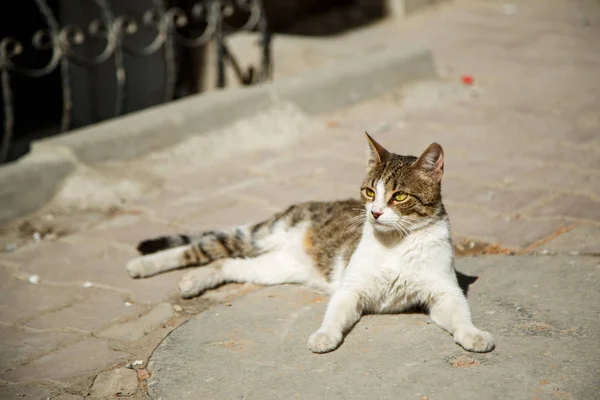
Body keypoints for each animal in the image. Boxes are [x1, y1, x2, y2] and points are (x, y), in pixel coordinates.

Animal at [125, 134, 492, 354]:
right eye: (369, 192)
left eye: (399, 196)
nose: (373, 212)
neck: (396, 244)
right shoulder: (350, 290)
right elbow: (334, 315)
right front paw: (324, 336)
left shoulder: (444, 292)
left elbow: (460, 315)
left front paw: (474, 335)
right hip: (263, 235)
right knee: (205, 248)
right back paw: (143, 265)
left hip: (274, 269)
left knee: (226, 262)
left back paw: (193, 281)